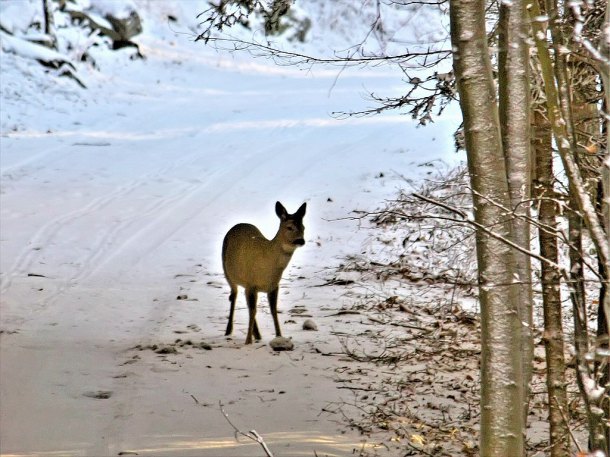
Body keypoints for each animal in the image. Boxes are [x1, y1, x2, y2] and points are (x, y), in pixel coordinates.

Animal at [220, 201, 306, 344]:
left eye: (303, 227)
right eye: (289, 227)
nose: (301, 241)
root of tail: (239, 224)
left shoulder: (273, 286)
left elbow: (273, 310)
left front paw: (279, 336)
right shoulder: (251, 284)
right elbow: (253, 311)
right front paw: (248, 341)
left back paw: (258, 334)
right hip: (227, 272)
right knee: (234, 295)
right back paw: (228, 330)